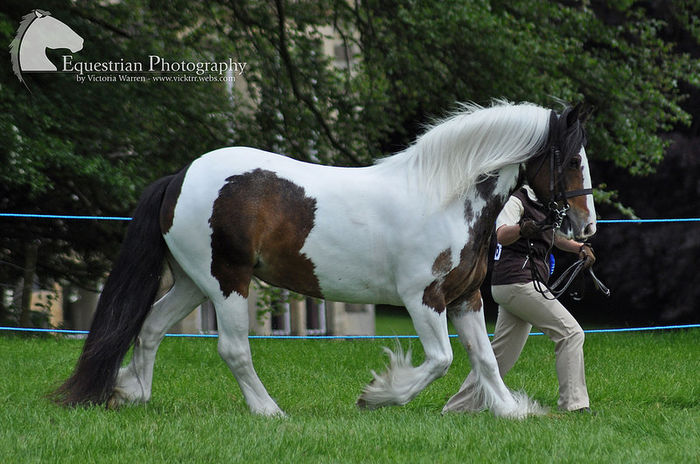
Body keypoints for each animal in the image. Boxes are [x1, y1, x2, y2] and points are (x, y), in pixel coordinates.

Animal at [53, 100, 596, 416]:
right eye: (571, 159)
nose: (585, 226)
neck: (443, 198)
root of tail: (179, 177)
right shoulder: (422, 299)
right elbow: (441, 360)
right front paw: (378, 394)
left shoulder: (466, 300)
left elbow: (484, 359)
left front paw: (509, 411)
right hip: (227, 282)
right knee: (233, 349)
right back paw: (269, 412)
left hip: (192, 281)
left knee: (149, 328)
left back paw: (133, 395)